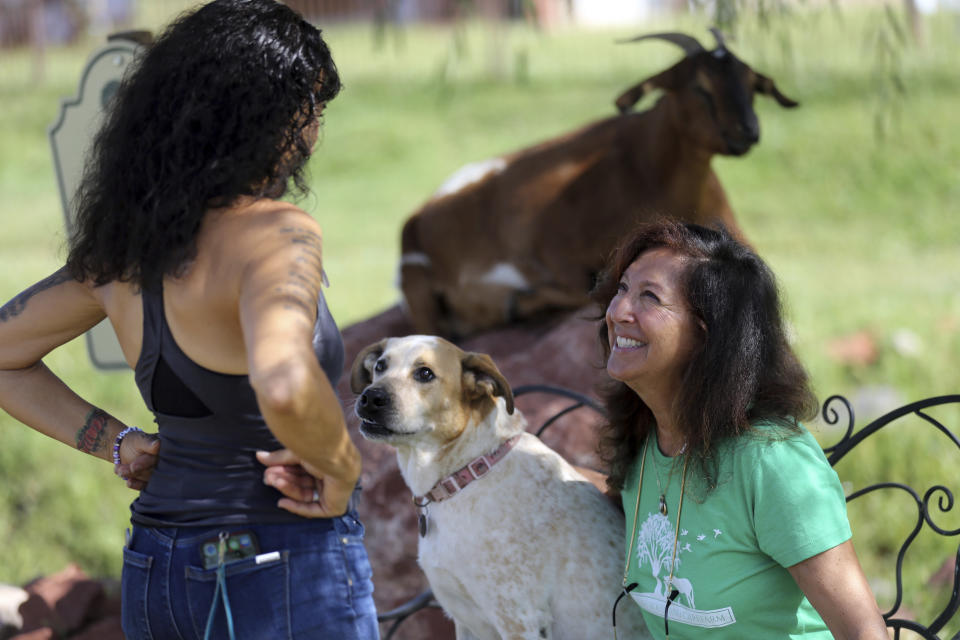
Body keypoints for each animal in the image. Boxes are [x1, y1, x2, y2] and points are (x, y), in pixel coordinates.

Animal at [348, 336, 648, 640]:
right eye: (380, 366)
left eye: (425, 373)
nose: (370, 398)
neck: (467, 472)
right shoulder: (464, 620)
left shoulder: (518, 619)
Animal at [398, 30, 796, 340]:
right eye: (700, 87)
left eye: (751, 85)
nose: (748, 131)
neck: (648, 167)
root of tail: (417, 218)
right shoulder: (555, 248)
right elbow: (589, 291)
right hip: (415, 278)